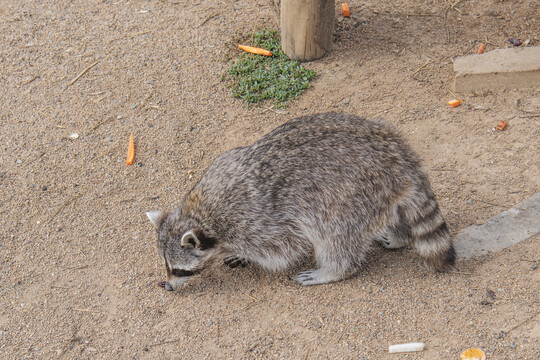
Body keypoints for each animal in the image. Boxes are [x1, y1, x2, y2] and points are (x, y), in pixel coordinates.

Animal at [146, 114, 454, 292]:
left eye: (179, 270)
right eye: (167, 266)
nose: (168, 286)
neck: (201, 213)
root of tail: (399, 154)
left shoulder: (257, 218)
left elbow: (282, 249)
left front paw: (248, 255)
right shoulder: (223, 161)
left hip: (347, 193)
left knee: (335, 236)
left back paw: (333, 270)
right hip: (376, 189)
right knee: (394, 209)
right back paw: (401, 234)